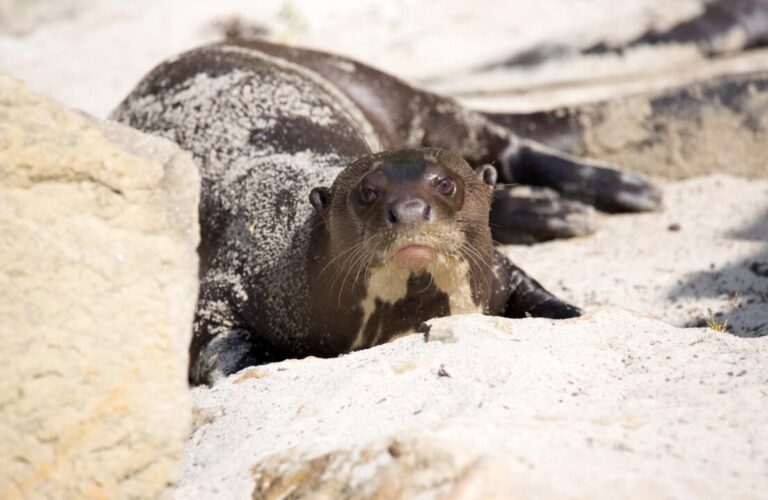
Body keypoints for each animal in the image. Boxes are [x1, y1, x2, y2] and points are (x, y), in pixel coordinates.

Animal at [112, 41, 661, 385]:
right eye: (367, 194)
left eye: (446, 185)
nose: (411, 209)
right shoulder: (227, 282)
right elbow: (222, 349)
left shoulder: (497, 266)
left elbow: (545, 297)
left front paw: (575, 312)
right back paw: (558, 210)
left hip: (394, 90)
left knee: (503, 142)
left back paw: (626, 189)